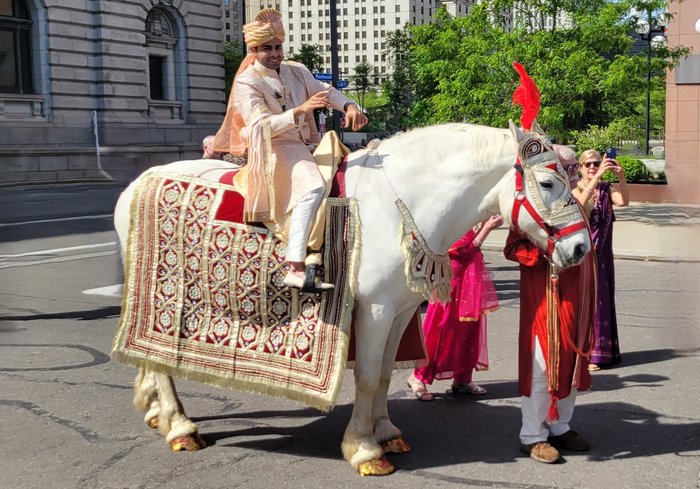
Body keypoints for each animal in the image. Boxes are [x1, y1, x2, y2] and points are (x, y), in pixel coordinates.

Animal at [113, 120, 592, 474]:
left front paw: (386, 433)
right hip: (166, 291)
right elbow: (364, 376)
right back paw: (179, 426)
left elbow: (381, 375)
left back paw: (155, 411)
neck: (401, 204)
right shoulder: (374, 310)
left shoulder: (400, 311)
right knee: (160, 359)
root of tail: (136, 183)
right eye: (548, 182)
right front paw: (364, 449)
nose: (580, 248)